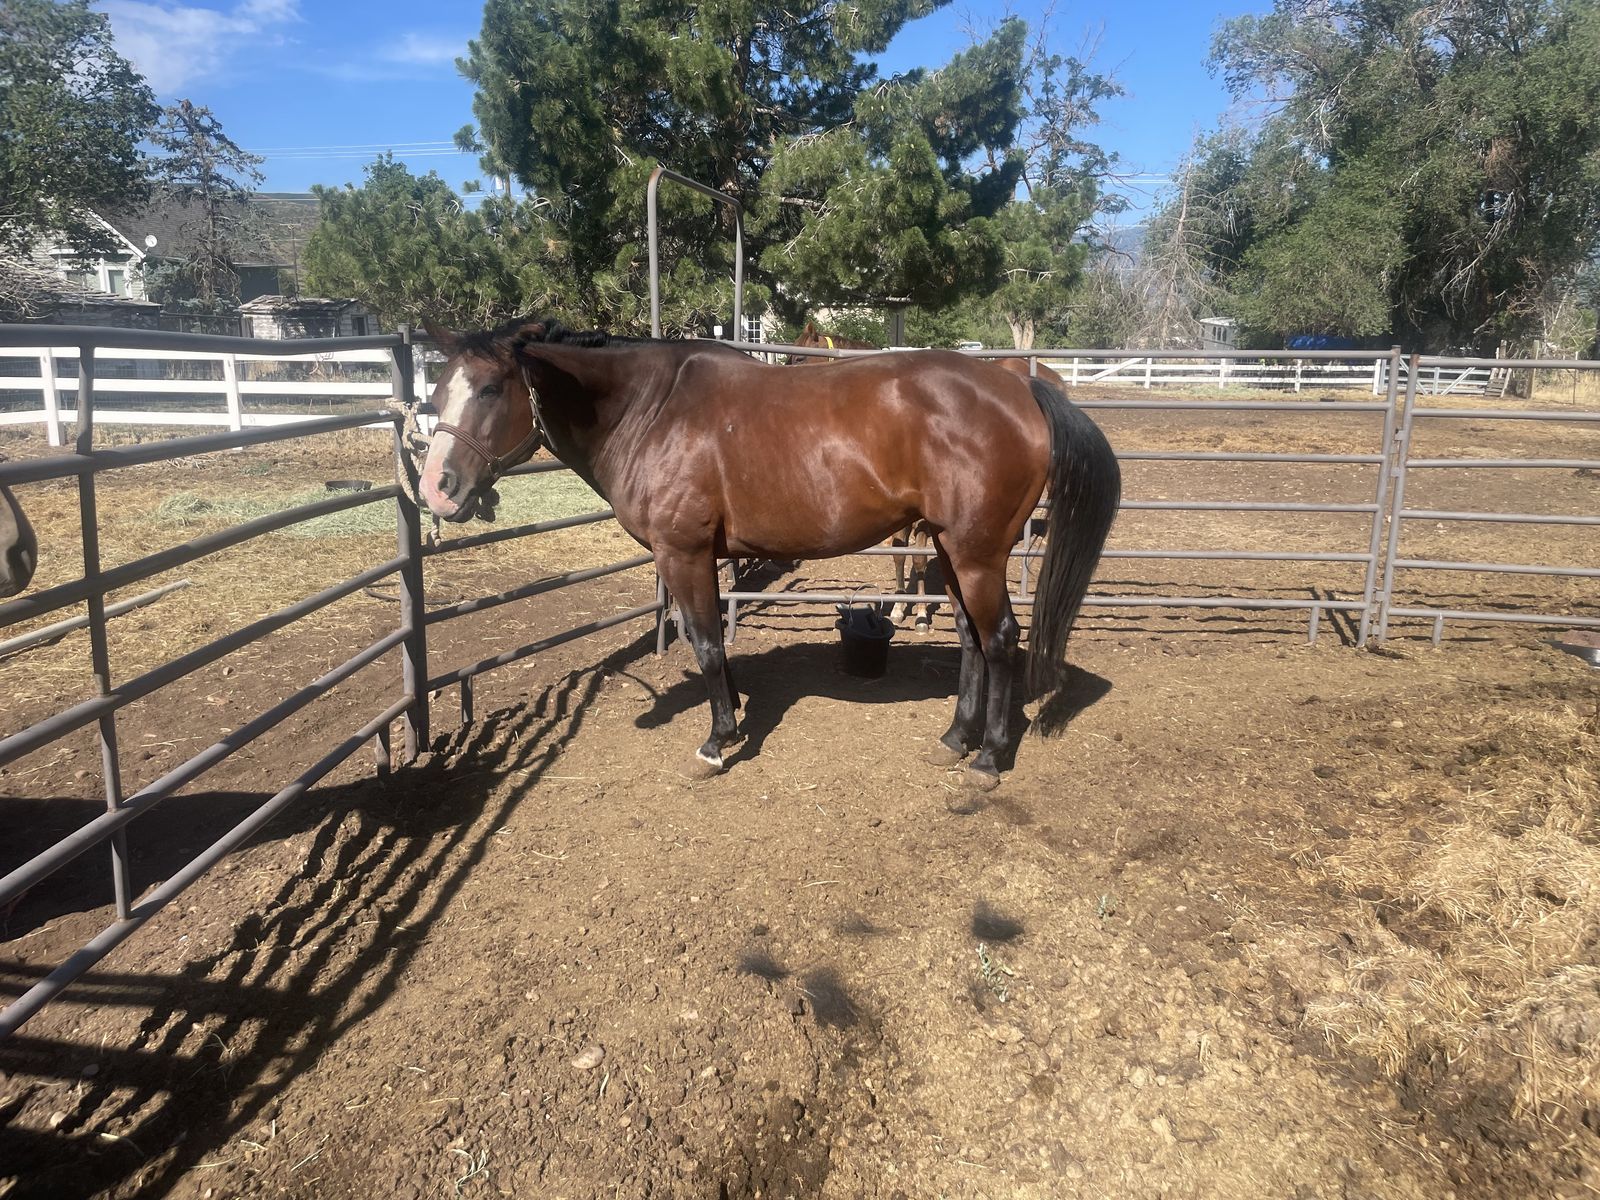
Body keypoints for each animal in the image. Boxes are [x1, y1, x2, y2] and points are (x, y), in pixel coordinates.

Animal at [416, 317, 1119, 790]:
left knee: (999, 640)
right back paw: (953, 740)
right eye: (437, 392)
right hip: (949, 549)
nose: (435, 490)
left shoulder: (683, 553)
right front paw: (730, 721)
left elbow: (705, 643)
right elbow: (707, 642)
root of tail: (1021, 390)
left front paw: (716, 742)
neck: (651, 411)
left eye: (489, 389)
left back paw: (988, 759)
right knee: (973, 638)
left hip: (975, 554)